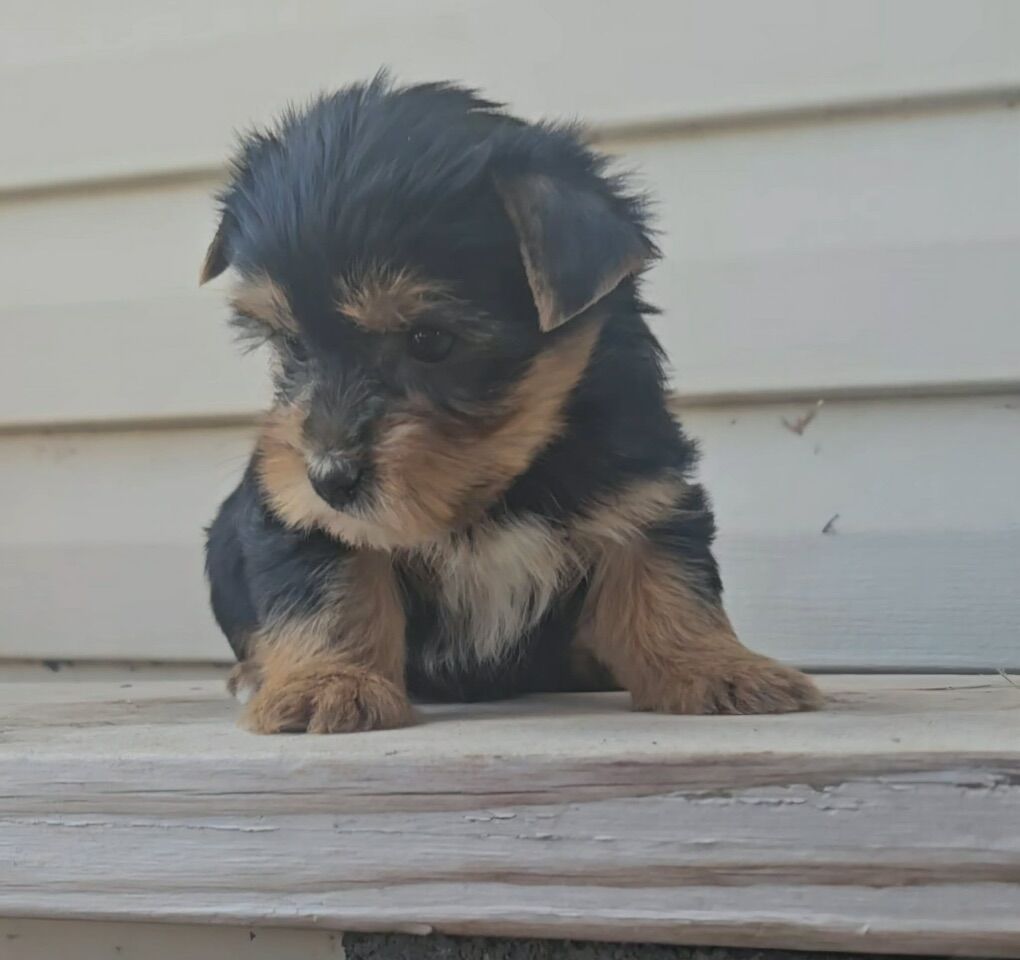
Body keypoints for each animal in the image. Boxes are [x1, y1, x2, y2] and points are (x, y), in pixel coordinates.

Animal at [202, 75, 821, 733]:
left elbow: (667, 576)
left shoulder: (642, 486)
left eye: (429, 341)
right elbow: (329, 589)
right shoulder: (299, 512)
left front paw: (718, 667)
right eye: (293, 346)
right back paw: (252, 673)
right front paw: (325, 683)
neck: (501, 485)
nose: (328, 477)